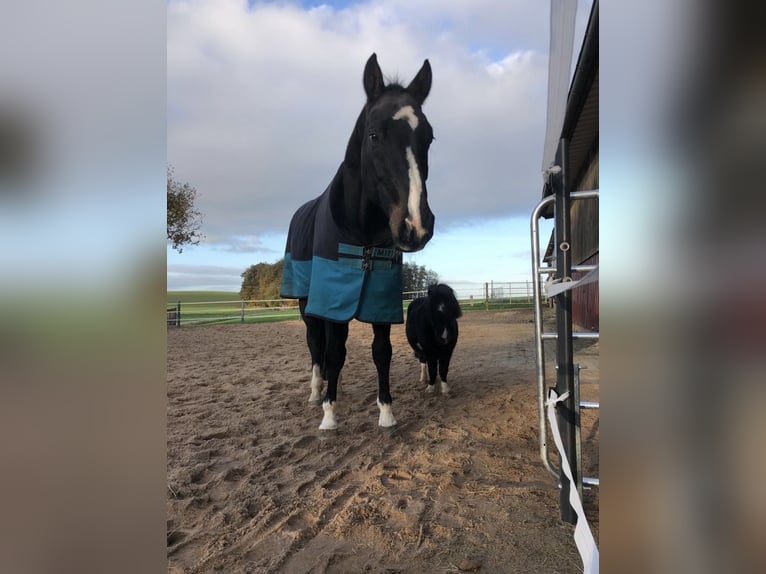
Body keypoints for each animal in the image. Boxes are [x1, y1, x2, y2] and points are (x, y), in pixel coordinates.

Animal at [280, 53, 436, 431]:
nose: (416, 226)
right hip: (307, 303)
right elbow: (333, 352)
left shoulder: (380, 300)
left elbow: (382, 352)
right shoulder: (331, 300)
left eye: (429, 138)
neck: (361, 232)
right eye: (374, 134)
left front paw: (387, 412)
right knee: (316, 345)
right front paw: (329, 415)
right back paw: (317, 392)